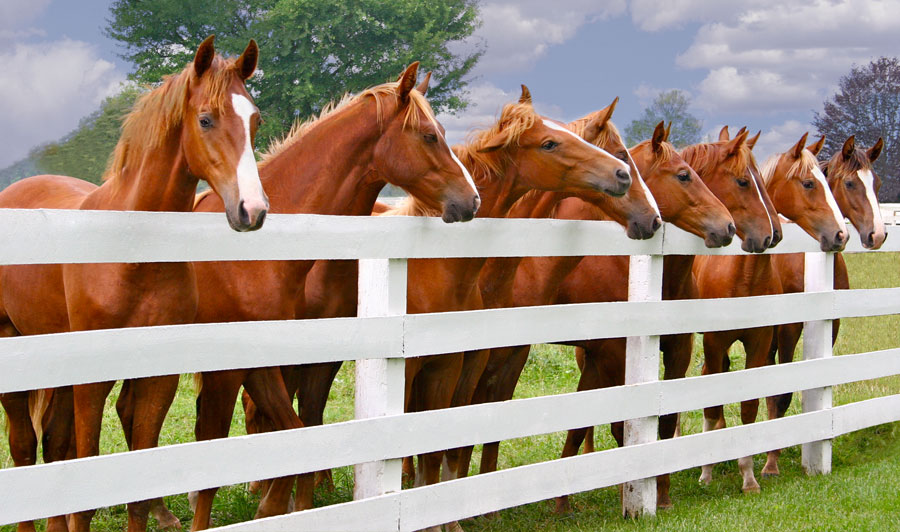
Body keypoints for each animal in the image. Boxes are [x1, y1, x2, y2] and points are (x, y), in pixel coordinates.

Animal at [0, 37, 268, 532]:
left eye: (254, 119)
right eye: (206, 119)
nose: (253, 210)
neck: (133, 255)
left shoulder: (157, 377)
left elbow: (138, 485)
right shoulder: (92, 379)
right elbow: (85, 488)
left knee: (53, 445)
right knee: (25, 448)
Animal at [692, 131, 848, 492]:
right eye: (809, 183)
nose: (840, 234)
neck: (744, 276)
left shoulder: (763, 341)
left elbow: (756, 403)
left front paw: (751, 474)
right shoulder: (715, 341)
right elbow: (714, 400)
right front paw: (709, 472)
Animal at [764, 133, 888, 474]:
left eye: (877, 183)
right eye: (850, 183)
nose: (878, 234)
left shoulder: (830, 326)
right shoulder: (787, 328)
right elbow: (779, 394)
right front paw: (771, 465)